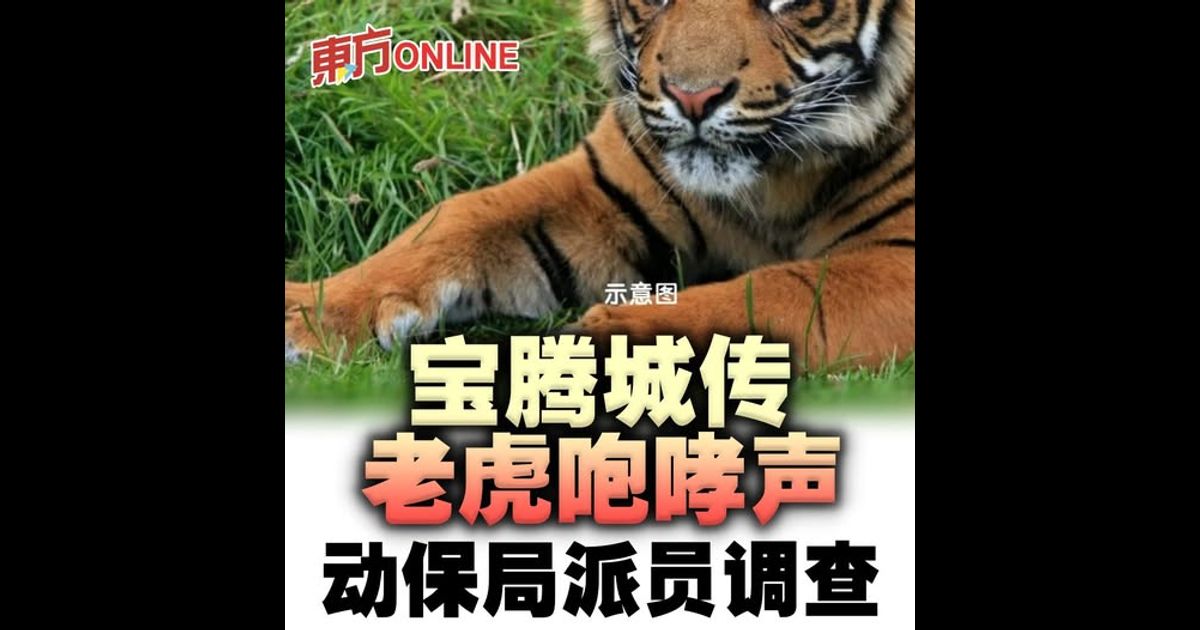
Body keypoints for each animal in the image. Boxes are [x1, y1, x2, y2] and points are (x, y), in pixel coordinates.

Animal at [285, 0, 915, 370]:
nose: (692, 98)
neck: (776, 177)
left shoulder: (898, 262)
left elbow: (783, 289)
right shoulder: (606, 186)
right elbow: (460, 216)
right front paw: (309, 314)